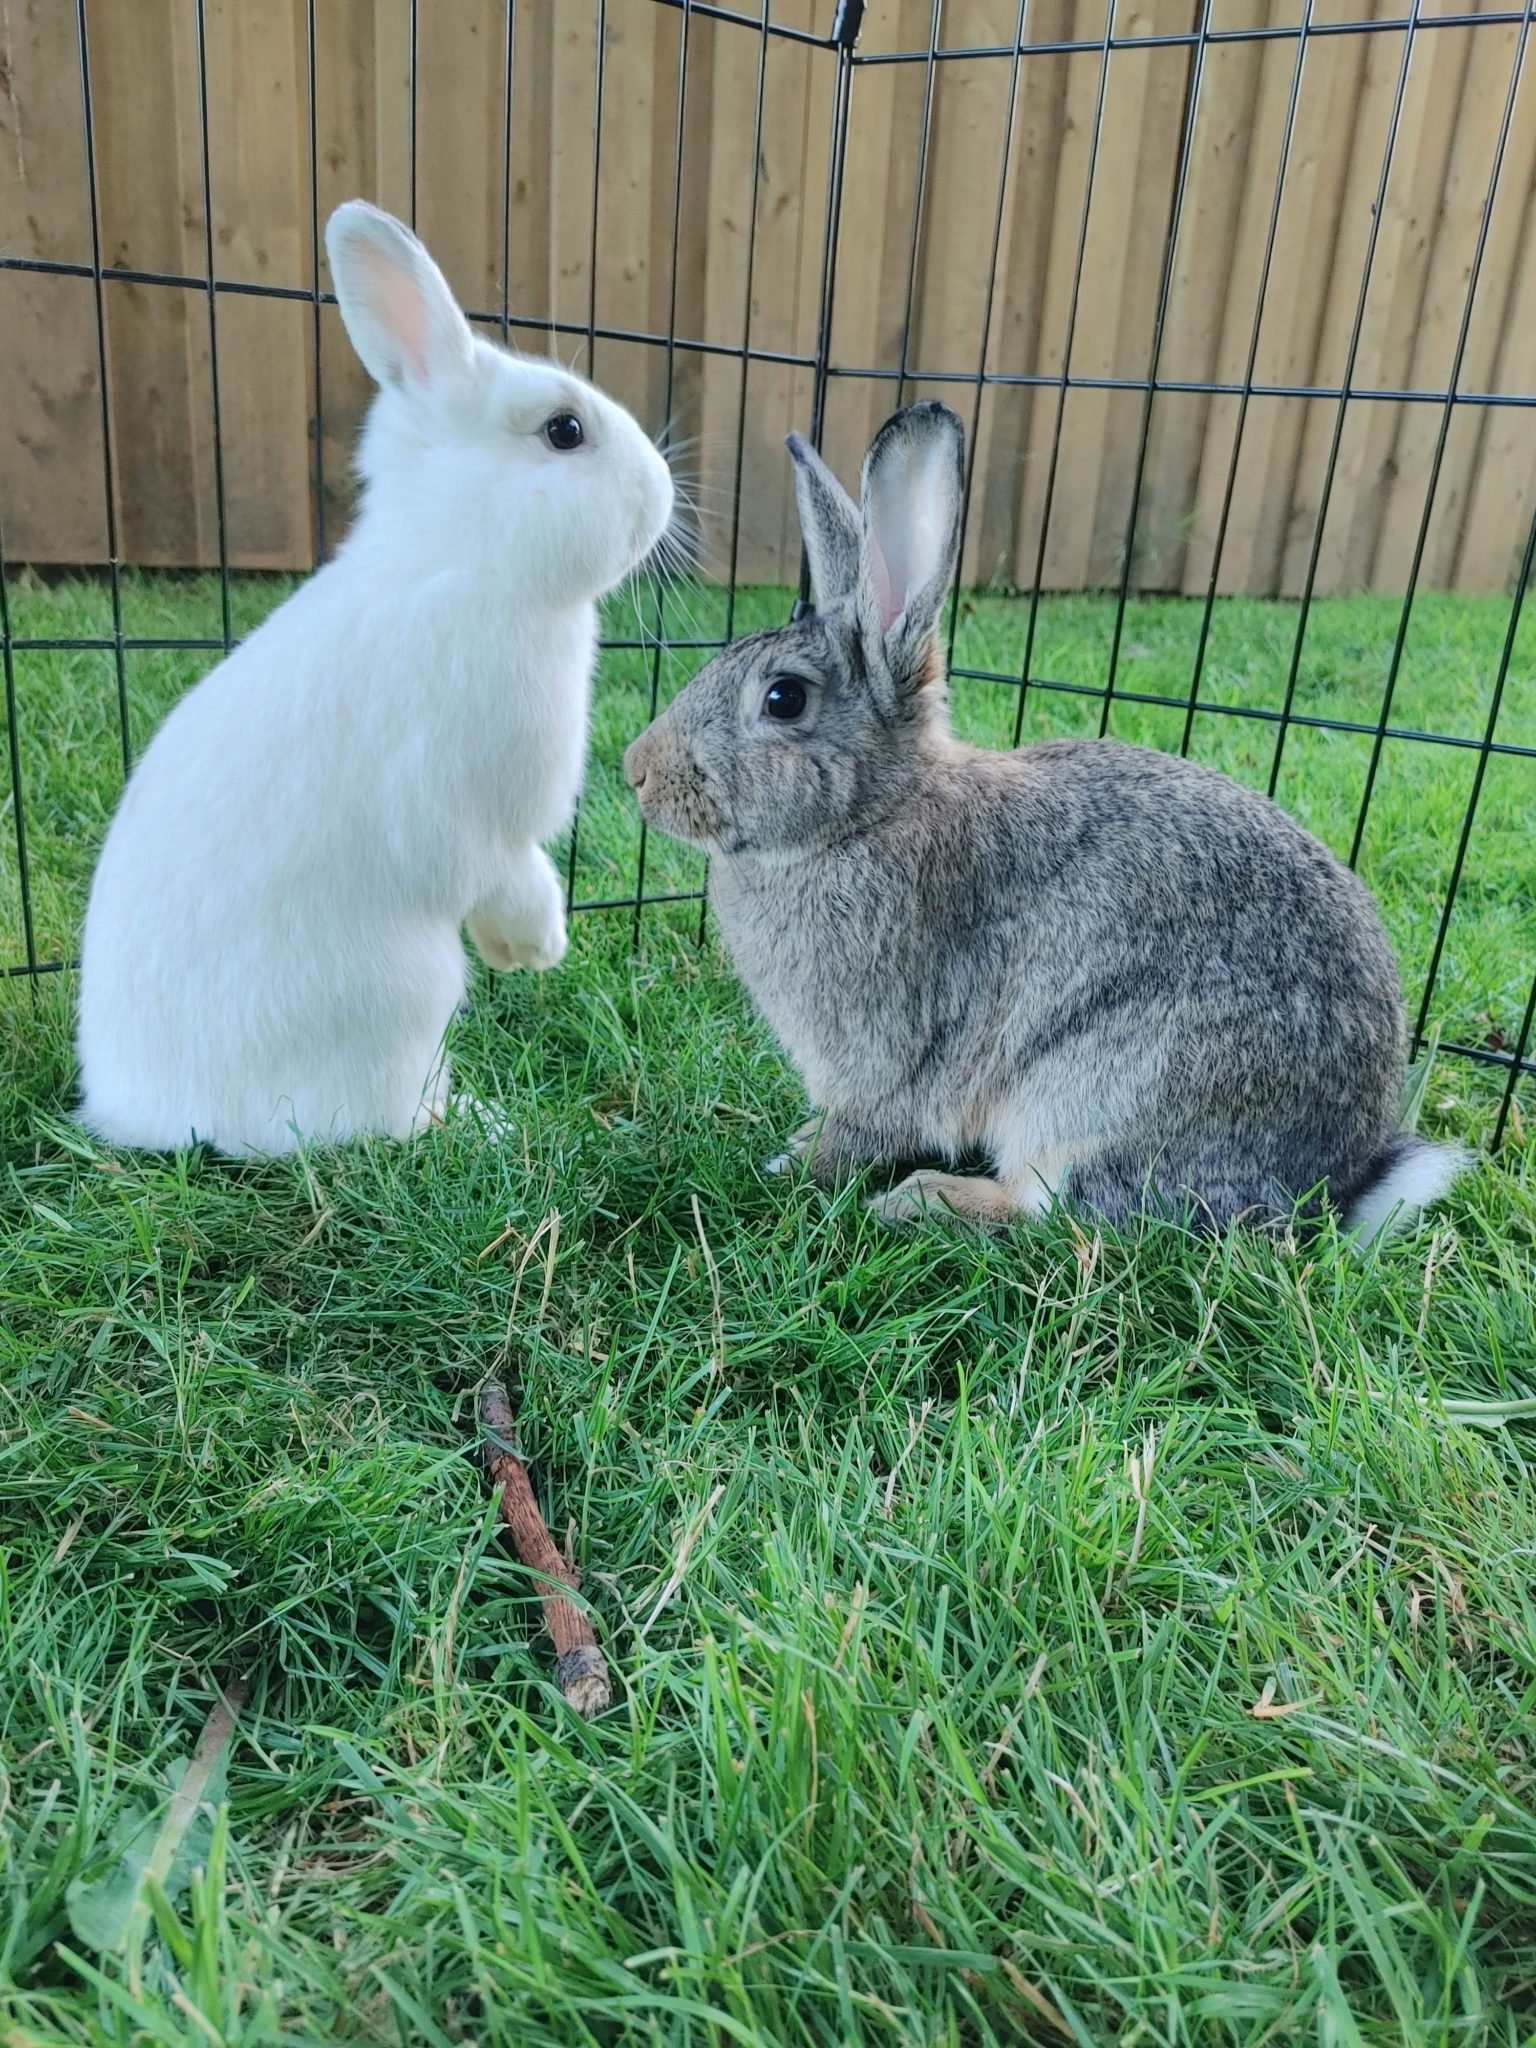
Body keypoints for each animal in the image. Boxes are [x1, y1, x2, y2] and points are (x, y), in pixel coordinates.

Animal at [76, 199, 673, 1157]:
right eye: (564, 431)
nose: (662, 491)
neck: (460, 559)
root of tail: (148, 1116)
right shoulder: (465, 807)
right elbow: (502, 870)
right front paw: (538, 946)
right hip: (405, 995)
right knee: (379, 1123)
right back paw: (480, 1123)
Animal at [623, 401, 1466, 1243]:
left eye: (783, 699)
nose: (637, 771)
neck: (871, 816)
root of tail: (1331, 1191)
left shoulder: (884, 1060)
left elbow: (859, 1134)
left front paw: (795, 1166)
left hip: (1096, 1092)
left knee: (1059, 1214)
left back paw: (923, 1199)